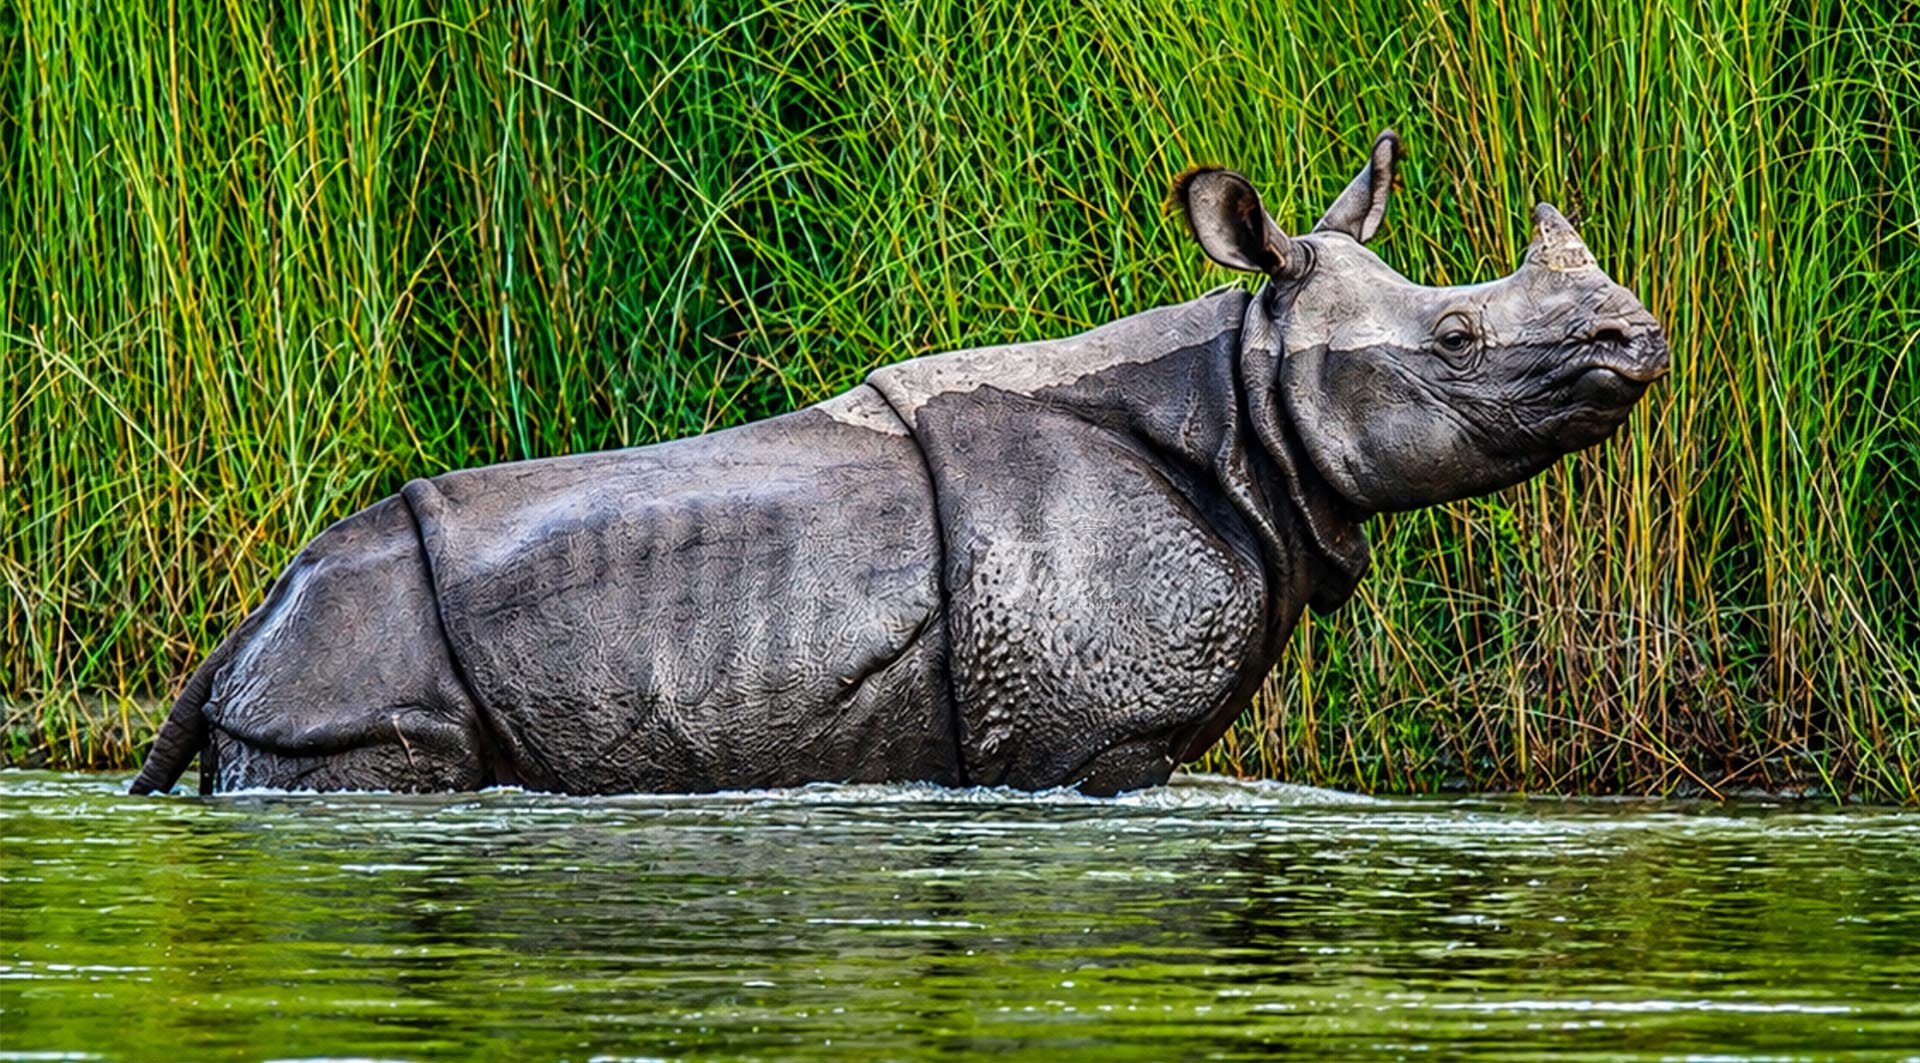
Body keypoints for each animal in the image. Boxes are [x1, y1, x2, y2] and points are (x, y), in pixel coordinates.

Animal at [130, 130, 1669, 797]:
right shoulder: (1077, 740)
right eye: (1457, 337)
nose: (1636, 339)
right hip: (348, 676)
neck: (1248, 404)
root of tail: (249, 621)